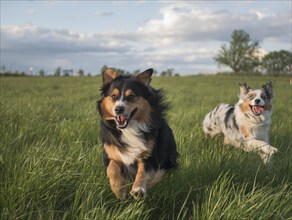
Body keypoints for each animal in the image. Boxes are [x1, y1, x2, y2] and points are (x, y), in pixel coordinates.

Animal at [97, 68, 178, 199]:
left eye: (131, 96)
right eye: (113, 96)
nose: (118, 109)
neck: (129, 129)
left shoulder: (149, 156)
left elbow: (142, 172)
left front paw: (138, 189)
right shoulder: (111, 153)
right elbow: (112, 168)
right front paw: (119, 189)